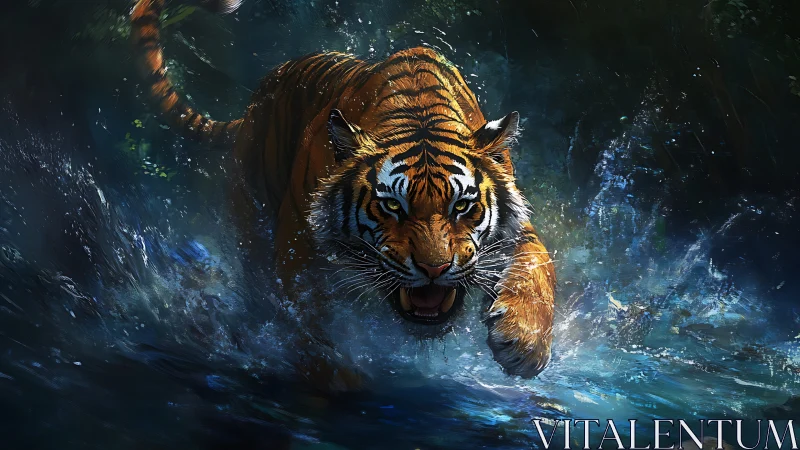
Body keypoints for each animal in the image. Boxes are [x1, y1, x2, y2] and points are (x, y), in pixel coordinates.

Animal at [131, 0, 556, 392]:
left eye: (463, 206)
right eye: (392, 206)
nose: (434, 270)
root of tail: (261, 92)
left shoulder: (519, 229)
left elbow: (538, 267)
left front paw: (524, 344)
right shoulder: (298, 245)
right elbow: (306, 316)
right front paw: (333, 376)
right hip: (252, 215)